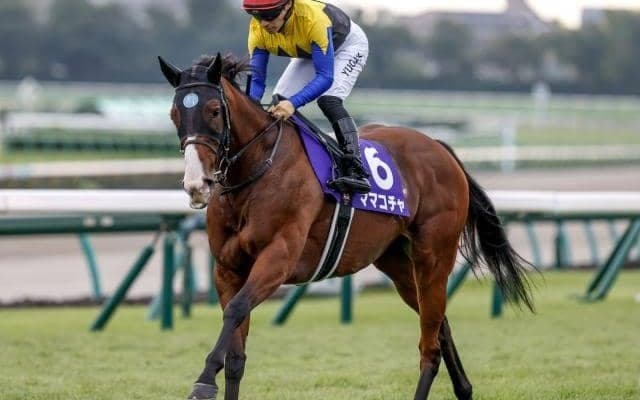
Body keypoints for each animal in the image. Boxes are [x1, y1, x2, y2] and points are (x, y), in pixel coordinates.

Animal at [158, 53, 534, 400]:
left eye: (213, 110)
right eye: (174, 114)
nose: (197, 184)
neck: (256, 171)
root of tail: (439, 148)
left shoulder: (278, 259)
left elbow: (236, 310)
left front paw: (204, 381)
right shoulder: (228, 269)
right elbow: (236, 352)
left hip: (434, 255)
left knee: (430, 346)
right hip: (398, 264)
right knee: (440, 326)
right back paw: (465, 389)